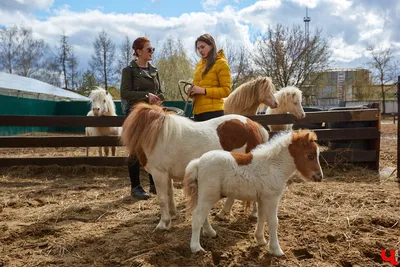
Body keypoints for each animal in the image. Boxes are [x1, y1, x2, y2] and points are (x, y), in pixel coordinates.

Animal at [119, 102, 268, 230]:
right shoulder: (166, 174)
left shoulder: (158, 173)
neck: (157, 135)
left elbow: (162, 199)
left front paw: (163, 223)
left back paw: (252, 214)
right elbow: (170, 194)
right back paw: (223, 213)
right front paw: (172, 214)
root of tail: (253, 125)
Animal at [184, 131, 322, 256]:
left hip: (207, 195)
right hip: (209, 195)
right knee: (198, 216)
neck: (274, 166)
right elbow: (273, 221)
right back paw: (196, 248)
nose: (319, 177)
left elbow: (261, 217)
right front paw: (276, 250)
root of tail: (198, 162)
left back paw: (210, 233)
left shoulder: (262, 199)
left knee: (203, 215)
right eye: (310, 156)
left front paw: (260, 240)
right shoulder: (272, 198)